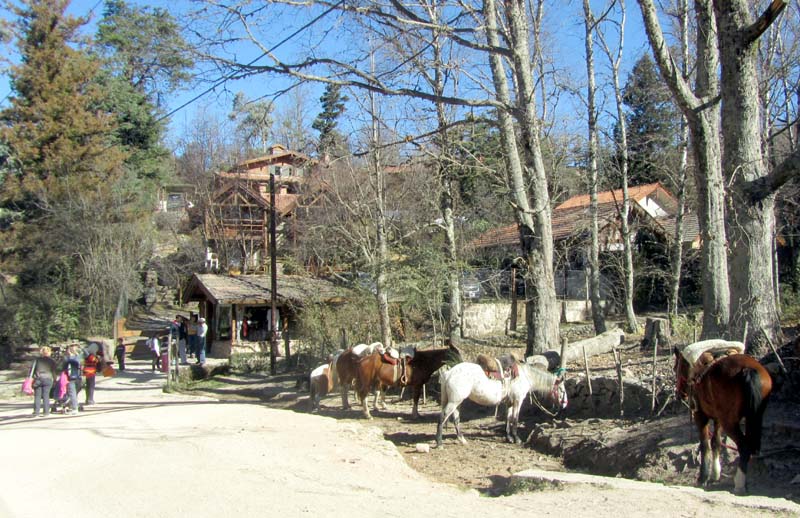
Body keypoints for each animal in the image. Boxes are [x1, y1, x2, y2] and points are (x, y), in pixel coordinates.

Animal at [438, 362, 568, 450]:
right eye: (562, 389)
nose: (565, 404)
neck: (525, 376)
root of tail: (448, 373)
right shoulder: (517, 401)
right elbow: (515, 420)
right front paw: (517, 439)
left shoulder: (509, 402)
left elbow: (508, 418)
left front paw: (509, 438)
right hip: (454, 401)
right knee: (443, 416)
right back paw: (439, 443)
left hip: (457, 402)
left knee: (456, 419)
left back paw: (462, 440)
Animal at [672, 350, 772, 496]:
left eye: (675, 368)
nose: (679, 394)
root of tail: (748, 369)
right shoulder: (718, 419)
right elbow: (716, 442)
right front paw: (715, 473)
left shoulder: (700, 416)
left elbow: (705, 445)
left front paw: (703, 477)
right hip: (753, 417)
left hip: (729, 422)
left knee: (744, 447)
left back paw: (739, 484)